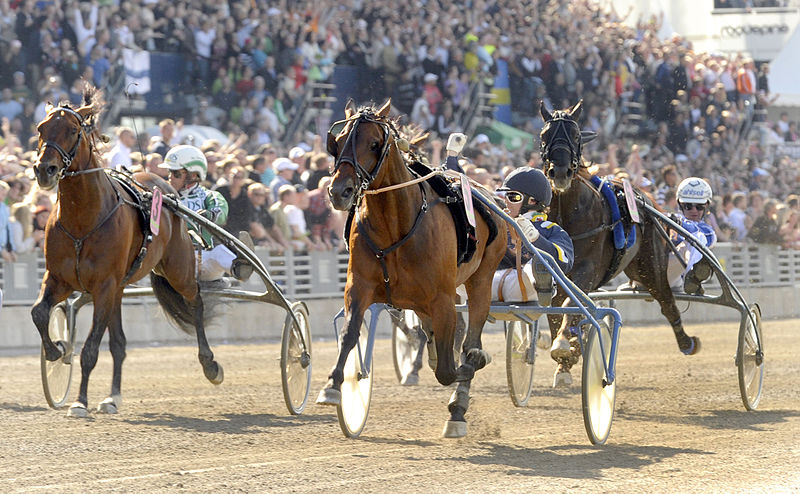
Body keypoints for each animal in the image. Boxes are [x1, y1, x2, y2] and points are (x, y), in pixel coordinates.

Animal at [30, 86, 223, 416]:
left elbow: (90, 349)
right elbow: (39, 313)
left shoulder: (104, 285)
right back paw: (112, 397)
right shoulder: (59, 278)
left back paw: (210, 364)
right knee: (119, 343)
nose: (45, 170)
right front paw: (56, 350)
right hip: (119, 288)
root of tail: (164, 188)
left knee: (195, 301)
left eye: (72, 130)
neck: (82, 219)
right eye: (41, 129)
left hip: (177, 268)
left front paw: (80, 401)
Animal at [314, 100, 506, 436]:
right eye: (337, 142)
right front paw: (334, 386)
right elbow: (350, 334)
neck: (395, 226)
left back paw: (461, 397)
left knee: (470, 334)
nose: (340, 191)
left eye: (374, 144)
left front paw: (467, 372)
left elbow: (448, 369)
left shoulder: (442, 299)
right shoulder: (359, 287)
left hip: (481, 279)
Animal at [536, 101, 700, 386]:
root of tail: (644, 198)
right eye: (545, 135)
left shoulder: (588, 270)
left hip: (651, 266)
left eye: (576, 136)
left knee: (667, 302)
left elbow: (569, 306)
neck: (569, 213)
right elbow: (556, 310)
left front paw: (565, 346)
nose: (560, 171)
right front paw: (565, 359)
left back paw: (686, 342)